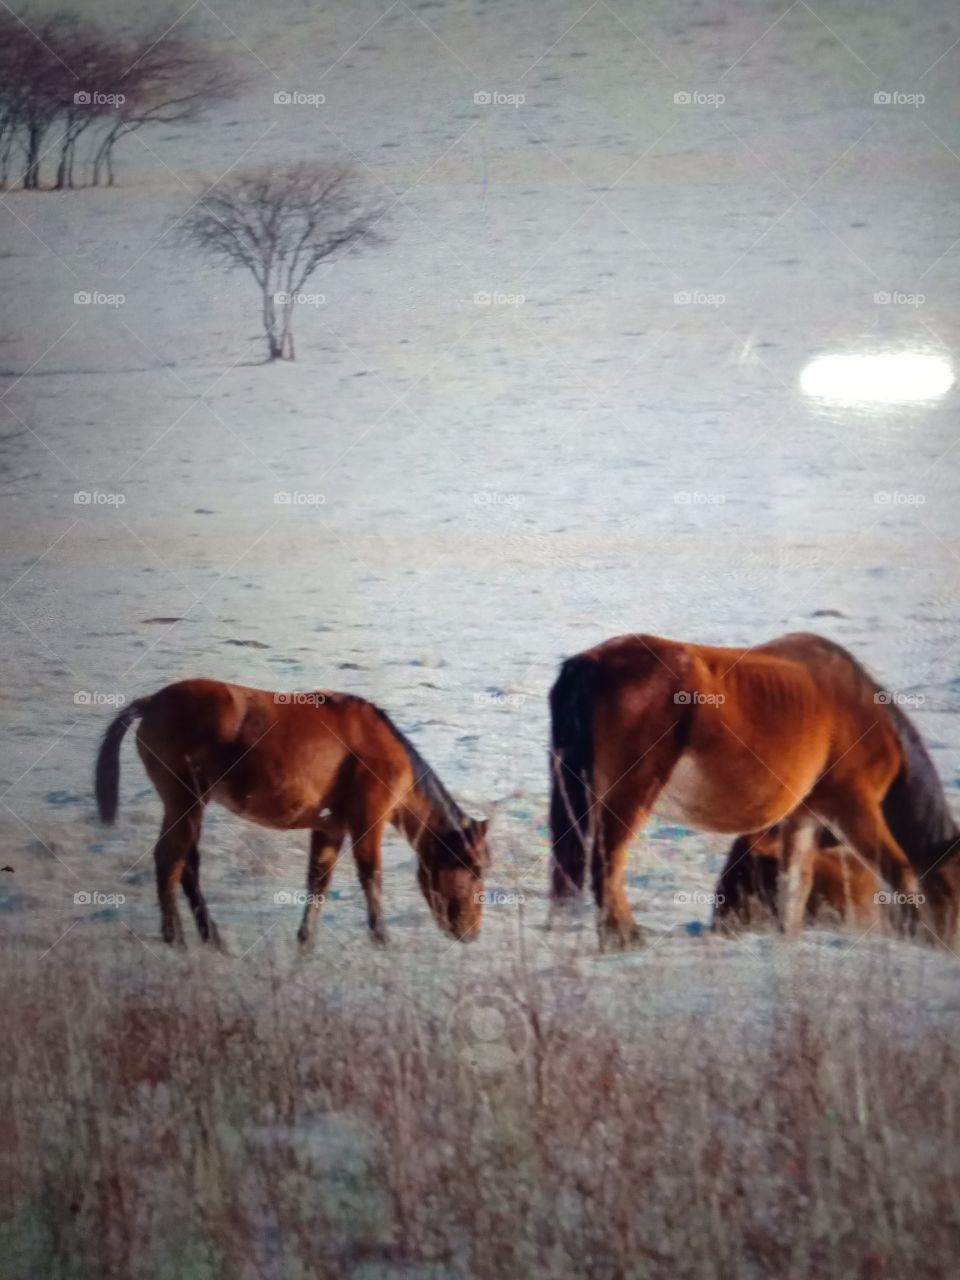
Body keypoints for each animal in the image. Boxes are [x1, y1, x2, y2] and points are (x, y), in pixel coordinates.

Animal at [92, 686, 488, 947]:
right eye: (475, 871)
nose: (471, 932)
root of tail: (151, 702)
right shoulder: (367, 822)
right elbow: (371, 878)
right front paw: (382, 939)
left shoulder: (331, 827)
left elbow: (318, 882)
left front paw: (306, 940)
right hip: (185, 801)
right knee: (170, 861)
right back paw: (175, 938)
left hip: (189, 806)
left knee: (185, 864)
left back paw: (209, 935)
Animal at [547, 632, 960, 947]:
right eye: (951, 888)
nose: (948, 947)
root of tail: (593, 661)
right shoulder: (853, 807)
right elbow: (901, 872)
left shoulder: (802, 817)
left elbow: (793, 889)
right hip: (629, 795)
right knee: (608, 865)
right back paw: (625, 937)